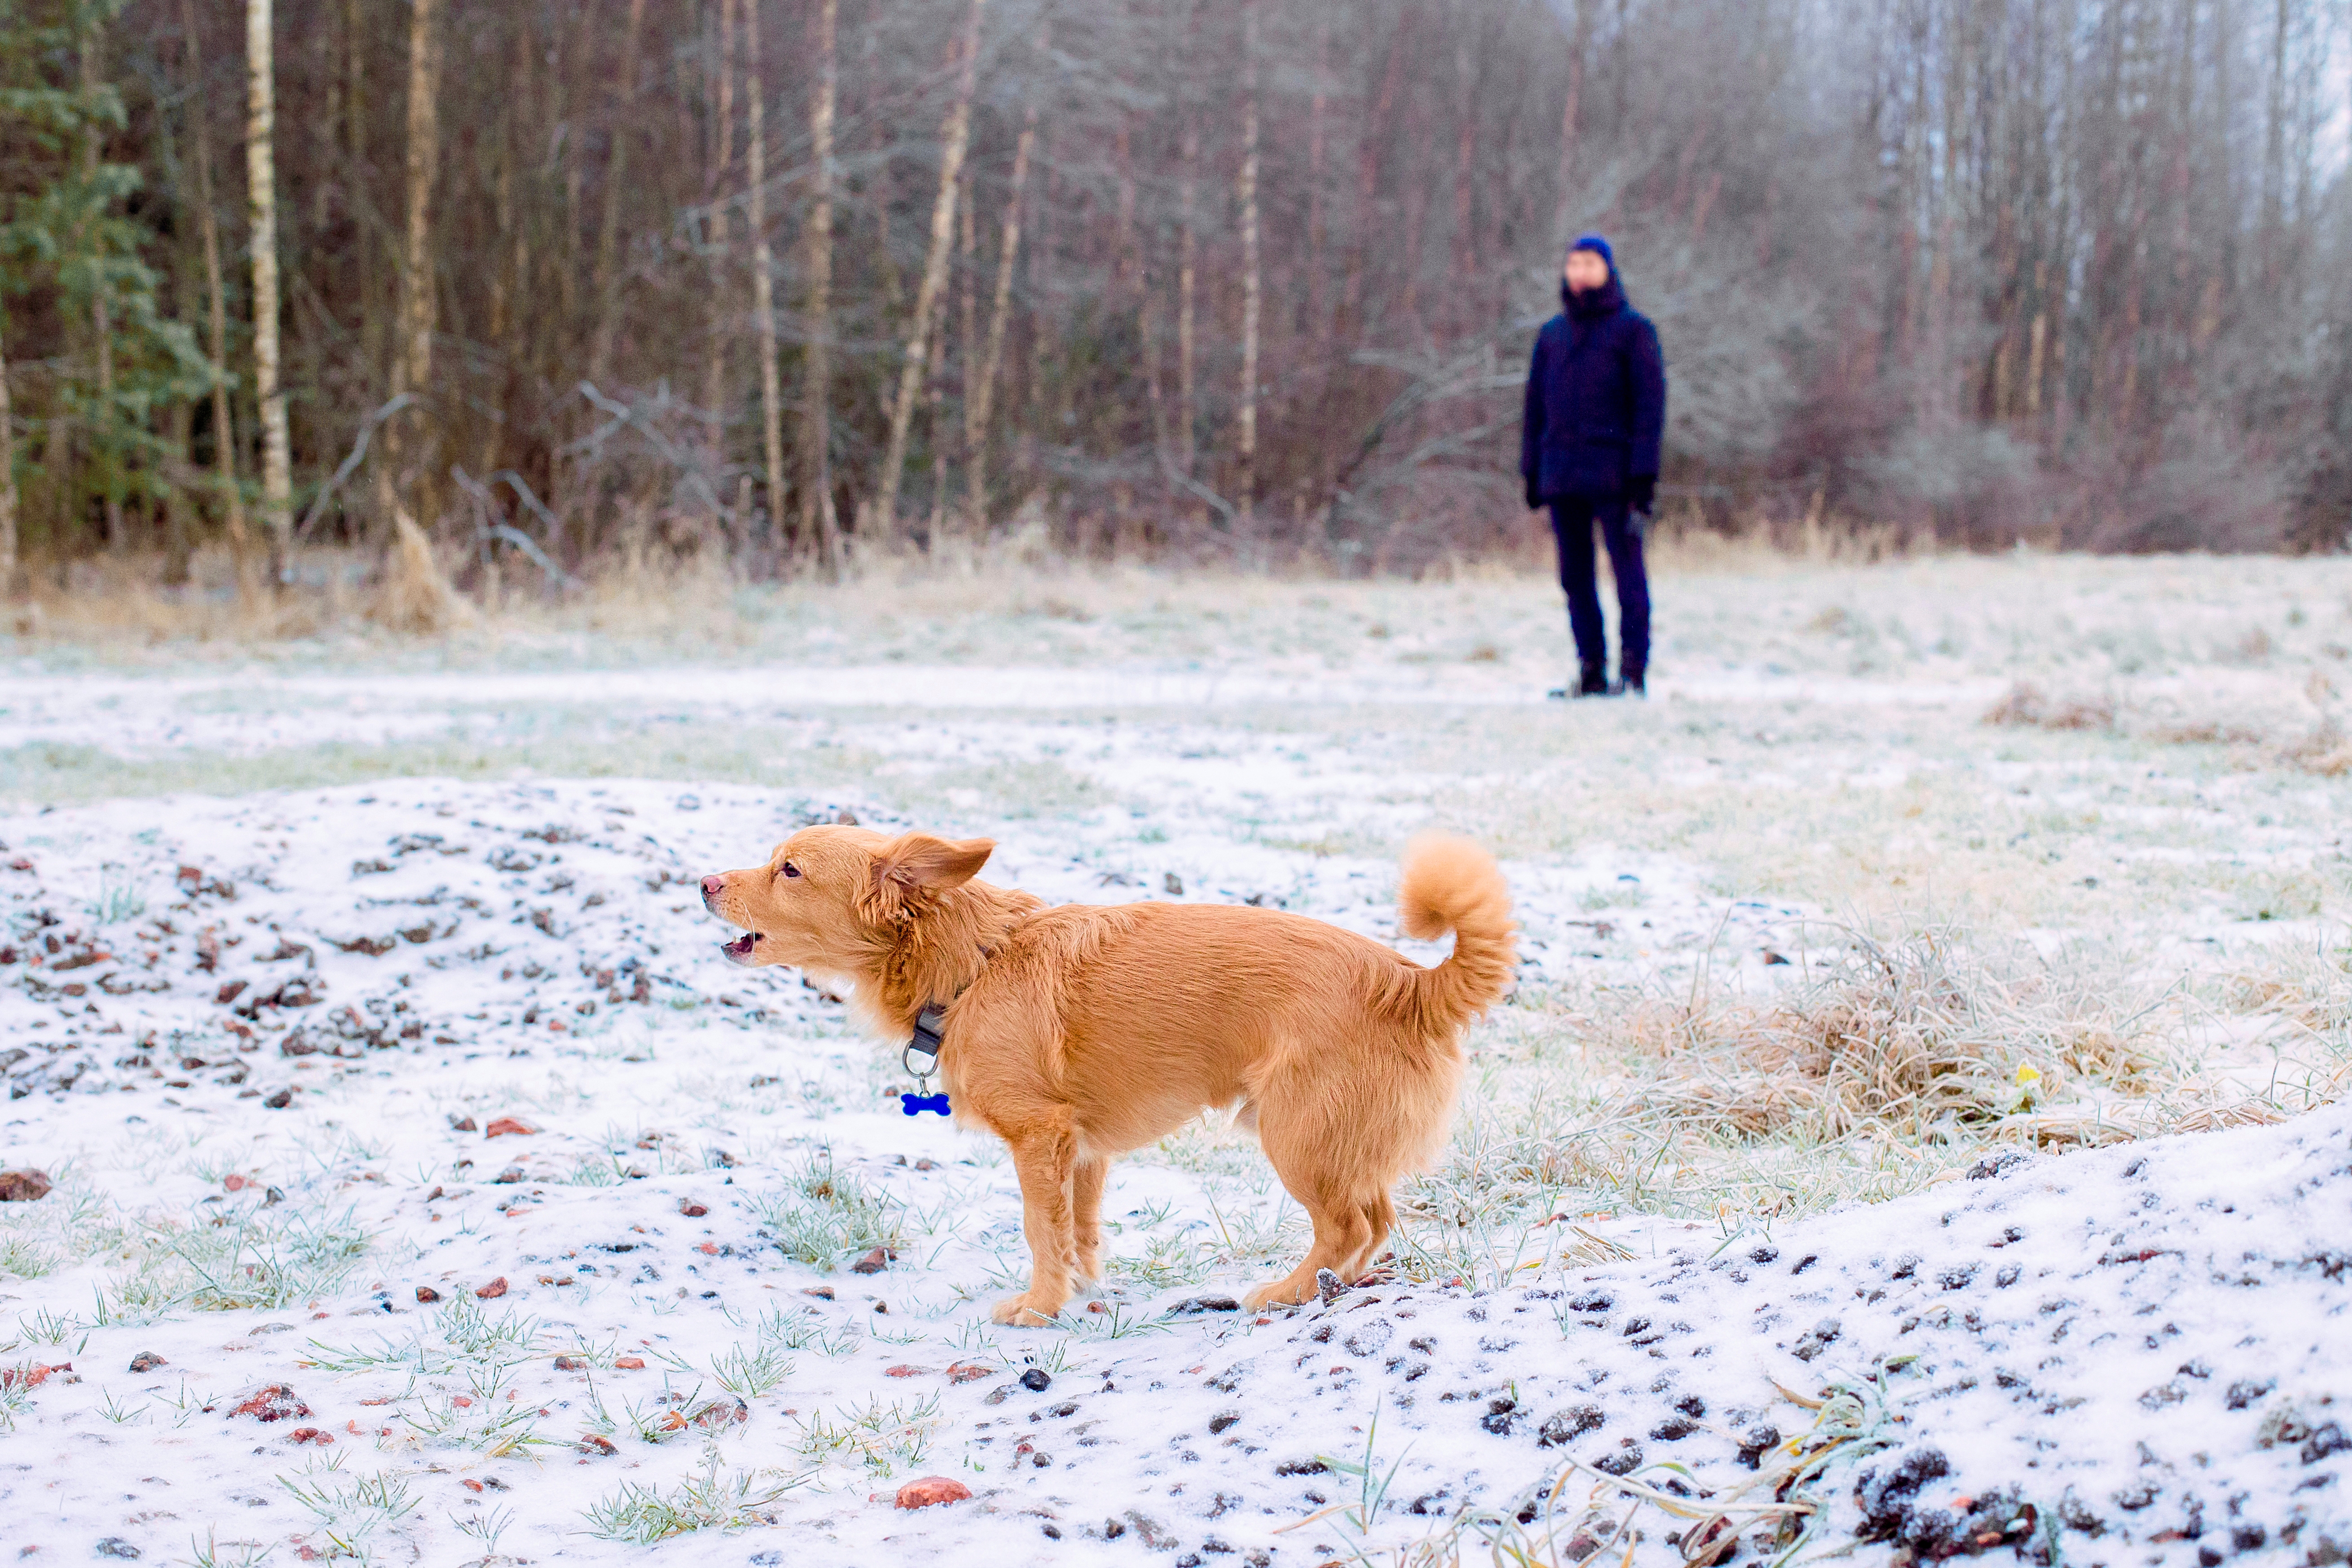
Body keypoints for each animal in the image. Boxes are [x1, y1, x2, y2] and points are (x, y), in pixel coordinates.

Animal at [691, 832, 1505, 1326]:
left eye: (789, 869)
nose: (702, 881)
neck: (974, 964)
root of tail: (1410, 982)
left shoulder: (1037, 1136)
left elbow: (1038, 1228)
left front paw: (1039, 1306)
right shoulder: (1081, 1148)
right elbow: (1077, 1229)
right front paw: (1080, 1288)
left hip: (1296, 1134)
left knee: (1346, 1226)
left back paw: (1285, 1291)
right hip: (1336, 1139)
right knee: (1375, 1221)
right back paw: (1326, 1289)